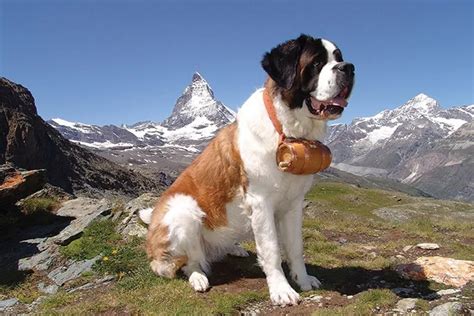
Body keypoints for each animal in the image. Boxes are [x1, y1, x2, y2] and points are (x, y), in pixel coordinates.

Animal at [141, 33, 356, 304]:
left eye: (338, 58)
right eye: (317, 63)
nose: (348, 68)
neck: (287, 128)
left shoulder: (294, 204)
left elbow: (295, 247)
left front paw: (303, 279)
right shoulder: (261, 202)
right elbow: (272, 249)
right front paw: (281, 290)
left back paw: (234, 249)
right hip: (184, 210)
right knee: (183, 263)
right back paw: (198, 277)